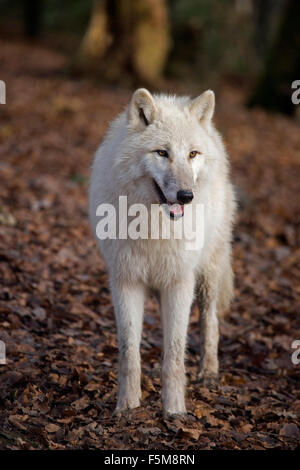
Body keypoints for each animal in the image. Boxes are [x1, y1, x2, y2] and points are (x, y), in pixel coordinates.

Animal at [88, 87, 236, 414]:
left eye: (192, 154)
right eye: (161, 153)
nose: (186, 195)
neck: (154, 226)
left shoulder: (180, 283)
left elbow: (176, 354)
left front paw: (175, 411)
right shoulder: (126, 281)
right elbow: (129, 352)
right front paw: (127, 407)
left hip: (207, 274)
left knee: (210, 322)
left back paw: (209, 372)